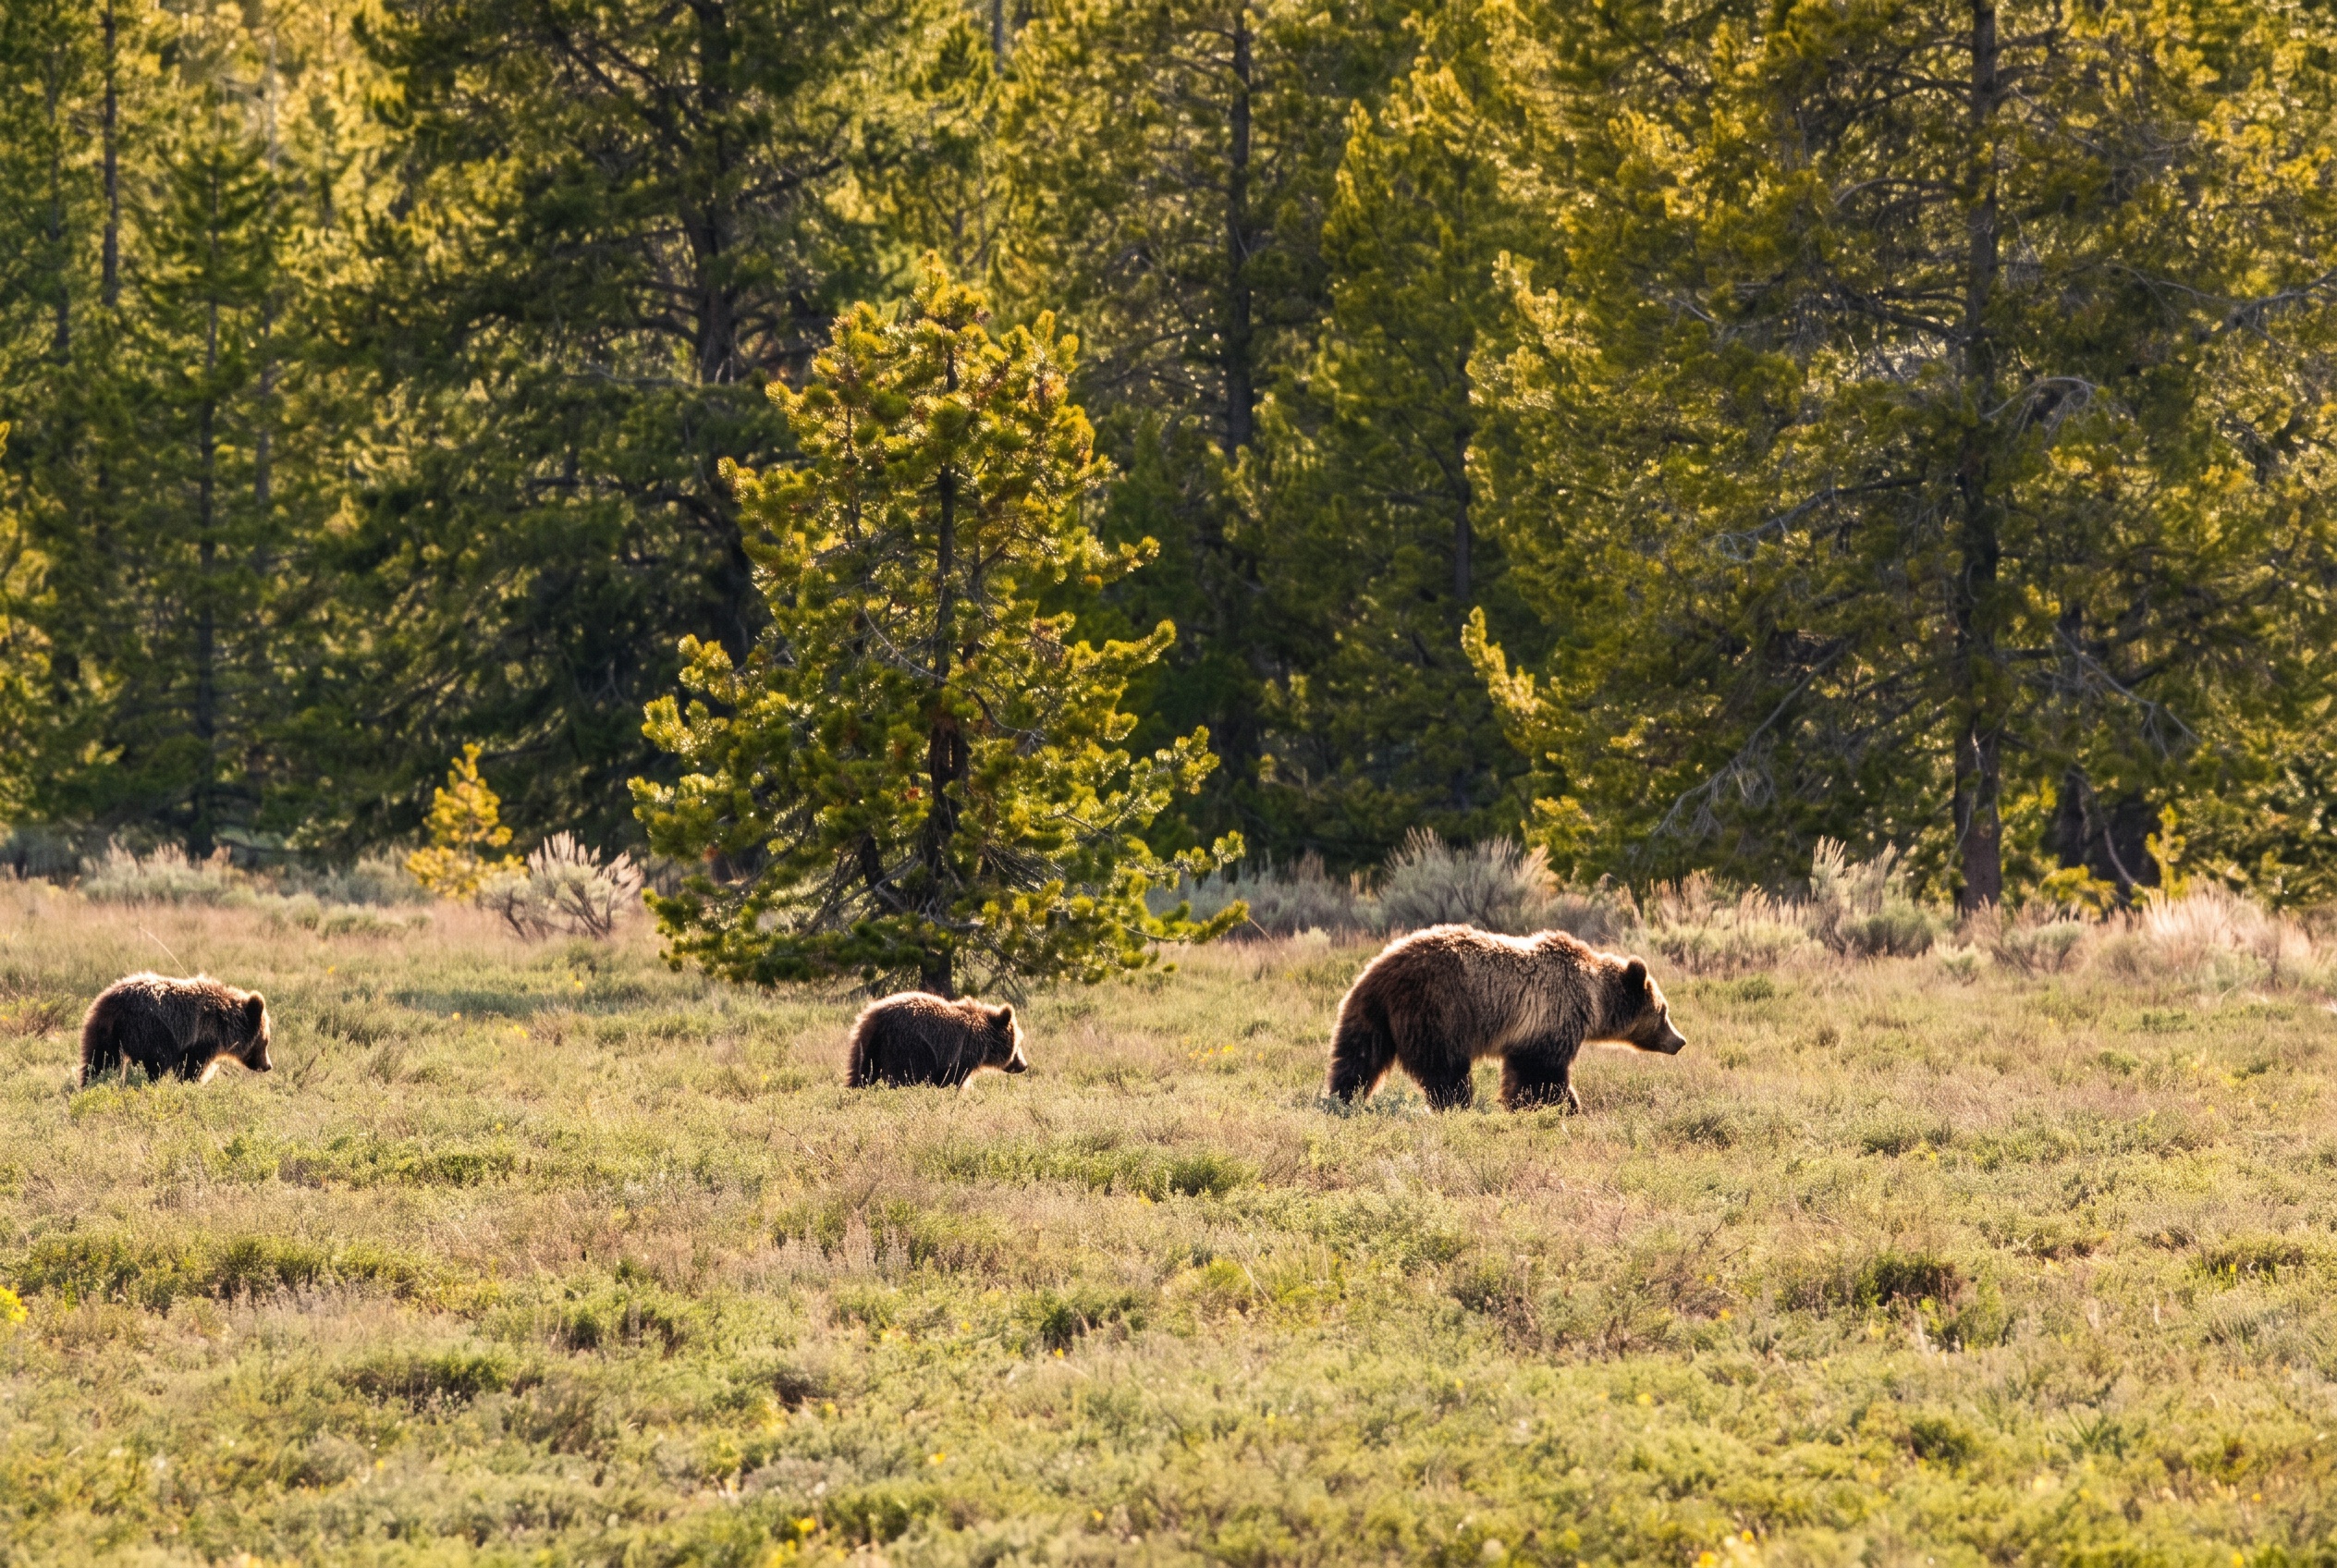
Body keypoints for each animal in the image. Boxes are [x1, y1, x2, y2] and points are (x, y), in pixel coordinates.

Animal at [79, 972, 274, 1088]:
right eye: (265, 1042)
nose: (268, 1066)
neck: (222, 1028)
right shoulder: (198, 1044)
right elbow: (191, 1070)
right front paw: (191, 1084)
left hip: (103, 1033)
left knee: (99, 1061)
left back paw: (90, 1085)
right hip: (148, 1032)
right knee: (154, 1066)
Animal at [846, 992, 1027, 1089]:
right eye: (1018, 1044)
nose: (1024, 1065)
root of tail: (878, 1018)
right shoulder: (958, 1059)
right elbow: (952, 1082)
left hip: (867, 1045)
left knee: (862, 1074)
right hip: (907, 1047)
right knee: (901, 1077)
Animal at [1326, 924, 1685, 1112]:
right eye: (1663, 1012)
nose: (1680, 1041)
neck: (1594, 998)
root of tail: (1381, 969)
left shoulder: (1529, 1029)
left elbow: (1519, 1071)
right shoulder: (1554, 1012)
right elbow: (1541, 1072)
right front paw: (1564, 1106)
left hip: (1369, 1013)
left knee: (1357, 1057)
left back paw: (1342, 1099)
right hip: (1436, 1009)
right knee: (1445, 1068)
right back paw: (1458, 1105)